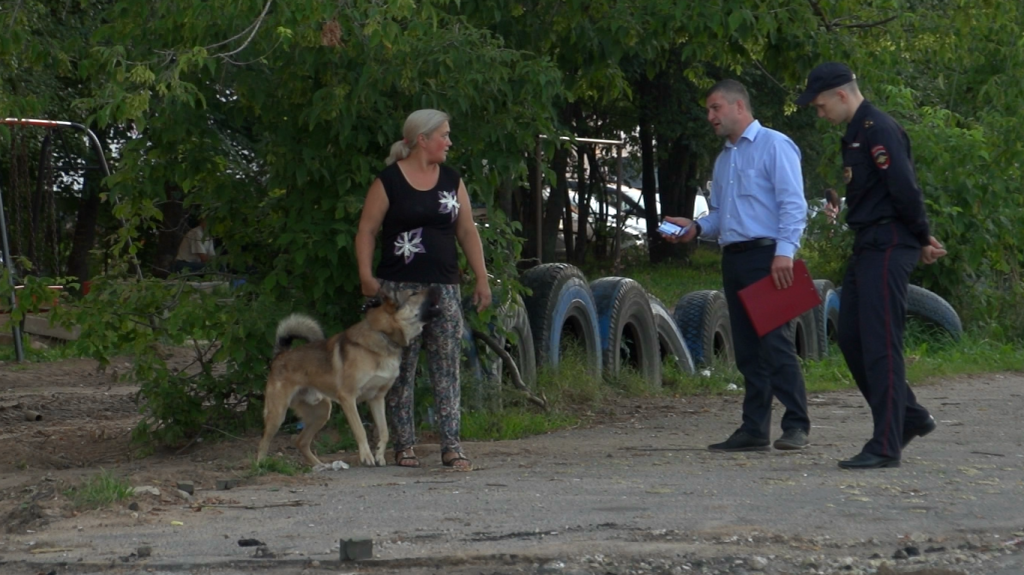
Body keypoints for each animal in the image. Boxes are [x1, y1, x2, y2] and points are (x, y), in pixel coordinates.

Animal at [256, 286, 440, 466]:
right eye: (414, 293)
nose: (436, 287)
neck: (383, 334)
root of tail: (280, 355)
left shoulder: (377, 398)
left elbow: (384, 431)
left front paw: (379, 455)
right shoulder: (348, 398)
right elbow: (360, 430)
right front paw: (367, 457)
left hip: (322, 412)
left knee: (300, 442)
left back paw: (320, 466)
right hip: (278, 414)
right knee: (264, 441)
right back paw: (261, 465)